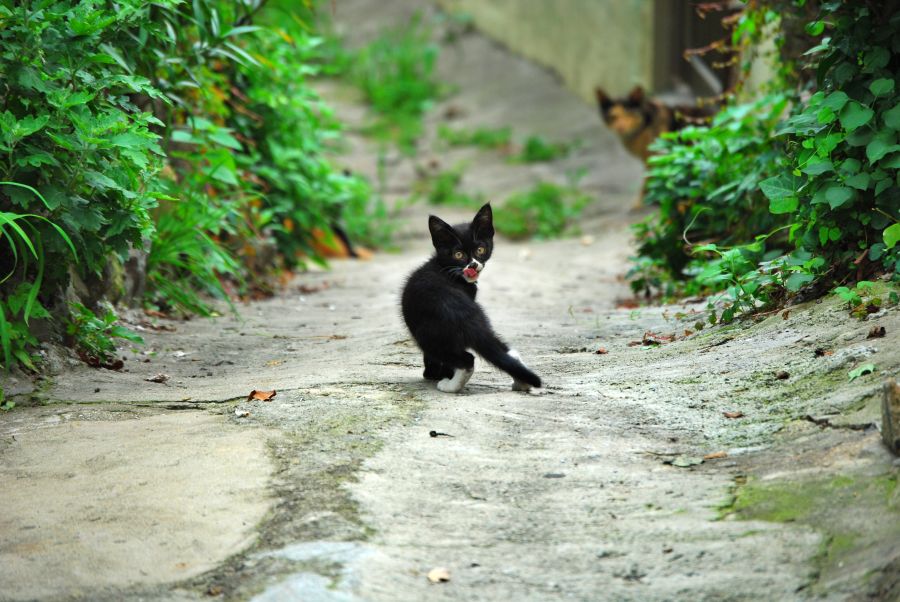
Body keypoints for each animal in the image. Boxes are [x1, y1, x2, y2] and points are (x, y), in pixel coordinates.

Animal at [400, 203, 540, 394]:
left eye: (480, 250)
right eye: (458, 254)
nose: (473, 265)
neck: (446, 269)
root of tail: (467, 317)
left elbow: (432, 358)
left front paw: (433, 373)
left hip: (428, 334)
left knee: (466, 360)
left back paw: (449, 385)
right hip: (478, 322)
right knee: (507, 352)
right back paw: (522, 383)